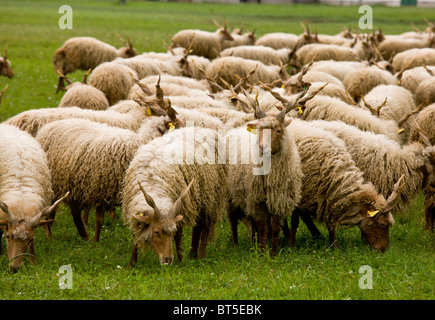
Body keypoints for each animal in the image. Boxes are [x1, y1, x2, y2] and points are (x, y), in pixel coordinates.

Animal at [121, 127, 227, 264]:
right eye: (156, 232)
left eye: (171, 232)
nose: (168, 259)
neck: (152, 182)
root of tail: (205, 129)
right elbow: (136, 236)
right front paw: (132, 263)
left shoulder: (180, 206)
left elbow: (178, 237)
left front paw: (180, 261)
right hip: (199, 198)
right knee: (197, 227)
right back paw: (192, 255)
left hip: (211, 196)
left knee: (204, 226)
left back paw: (201, 256)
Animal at [288, 119, 404, 251]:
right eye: (383, 225)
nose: (384, 249)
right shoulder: (299, 195)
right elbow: (295, 221)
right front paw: (291, 246)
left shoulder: (327, 197)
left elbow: (330, 224)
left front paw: (333, 245)